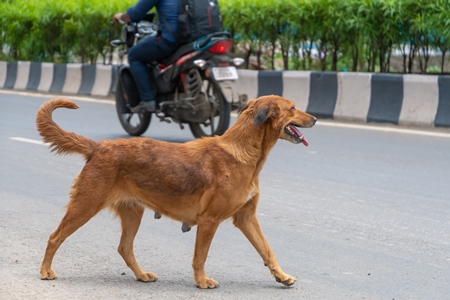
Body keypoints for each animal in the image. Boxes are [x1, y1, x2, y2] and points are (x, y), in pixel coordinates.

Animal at [36, 95, 316, 288]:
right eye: (293, 108)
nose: (314, 119)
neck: (243, 151)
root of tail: (99, 147)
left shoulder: (246, 218)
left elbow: (267, 250)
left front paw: (282, 276)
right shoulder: (209, 221)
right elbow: (200, 256)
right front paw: (202, 281)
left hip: (132, 213)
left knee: (124, 248)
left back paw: (141, 275)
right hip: (86, 205)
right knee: (54, 237)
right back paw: (45, 270)